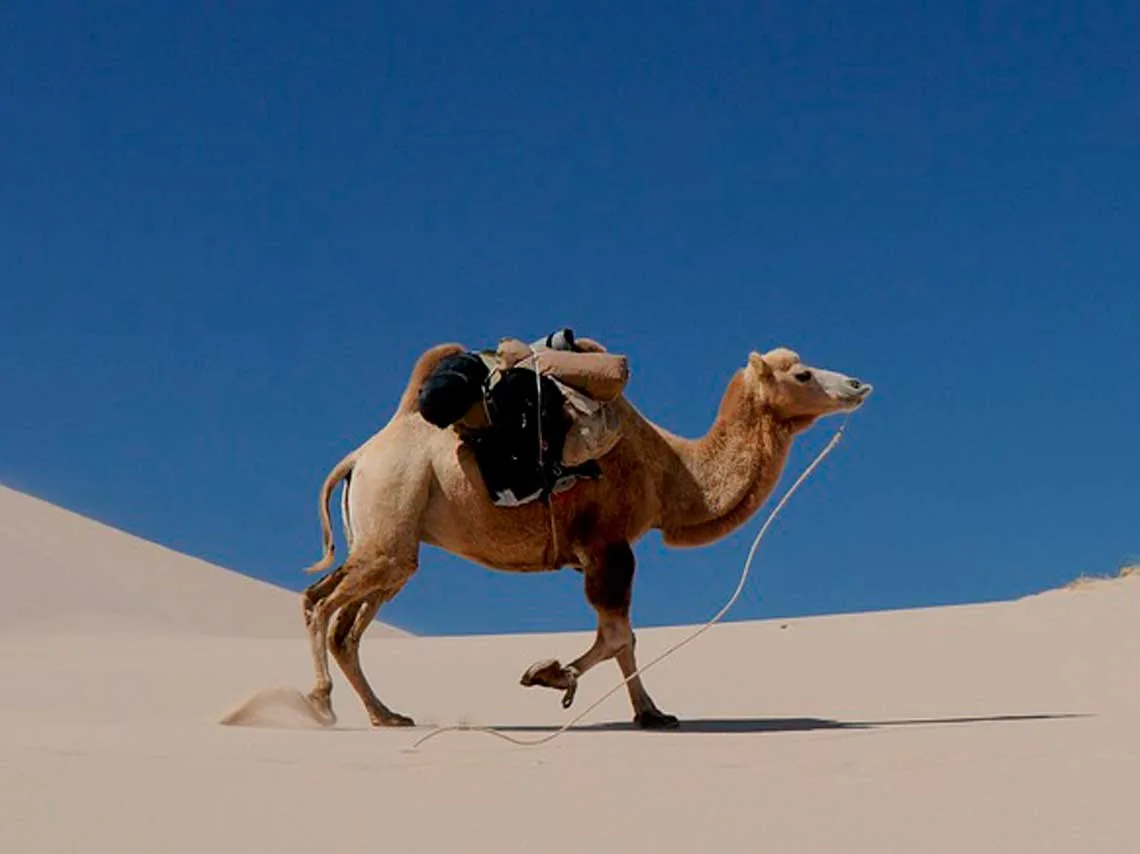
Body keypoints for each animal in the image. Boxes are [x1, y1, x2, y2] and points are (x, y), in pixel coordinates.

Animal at [299, 342, 872, 729]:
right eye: (802, 373)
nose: (858, 385)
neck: (674, 473)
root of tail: (360, 456)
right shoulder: (608, 545)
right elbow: (618, 636)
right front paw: (549, 674)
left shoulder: (603, 552)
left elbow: (625, 639)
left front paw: (652, 713)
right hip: (389, 512)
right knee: (319, 602)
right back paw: (321, 702)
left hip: (393, 542)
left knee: (346, 626)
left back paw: (385, 714)